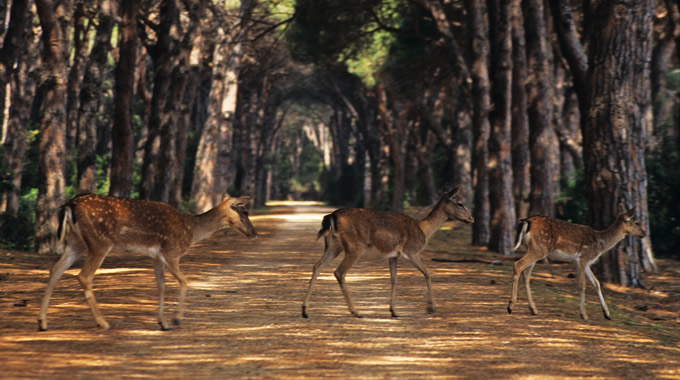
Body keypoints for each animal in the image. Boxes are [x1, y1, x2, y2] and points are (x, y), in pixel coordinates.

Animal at [38, 193, 258, 330]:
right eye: (245, 212)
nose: (254, 233)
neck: (191, 229)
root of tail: (70, 205)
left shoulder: (156, 257)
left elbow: (161, 286)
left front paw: (163, 323)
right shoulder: (171, 251)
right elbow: (184, 281)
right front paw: (176, 319)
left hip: (76, 243)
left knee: (54, 269)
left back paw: (42, 322)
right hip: (99, 242)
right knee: (83, 276)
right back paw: (103, 323)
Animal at [302, 189, 472, 320]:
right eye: (460, 203)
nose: (472, 218)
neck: (424, 229)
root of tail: (332, 216)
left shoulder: (393, 255)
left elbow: (394, 279)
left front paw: (394, 311)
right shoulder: (411, 251)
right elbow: (428, 273)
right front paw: (431, 308)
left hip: (333, 245)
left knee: (317, 266)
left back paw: (305, 310)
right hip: (355, 247)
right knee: (339, 272)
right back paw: (356, 312)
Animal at [508, 208, 644, 320]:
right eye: (637, 222)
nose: (644, 233)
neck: (600, 245)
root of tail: (527, 221)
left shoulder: (587, 262)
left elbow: (597, 283)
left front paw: (607, 314)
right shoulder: (582, 259)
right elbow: (582, 285)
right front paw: (584, 314)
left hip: (535, 249)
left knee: (526, 273)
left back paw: (533, 309)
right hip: (539, 248)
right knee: (518, 265)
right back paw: (510, 306)